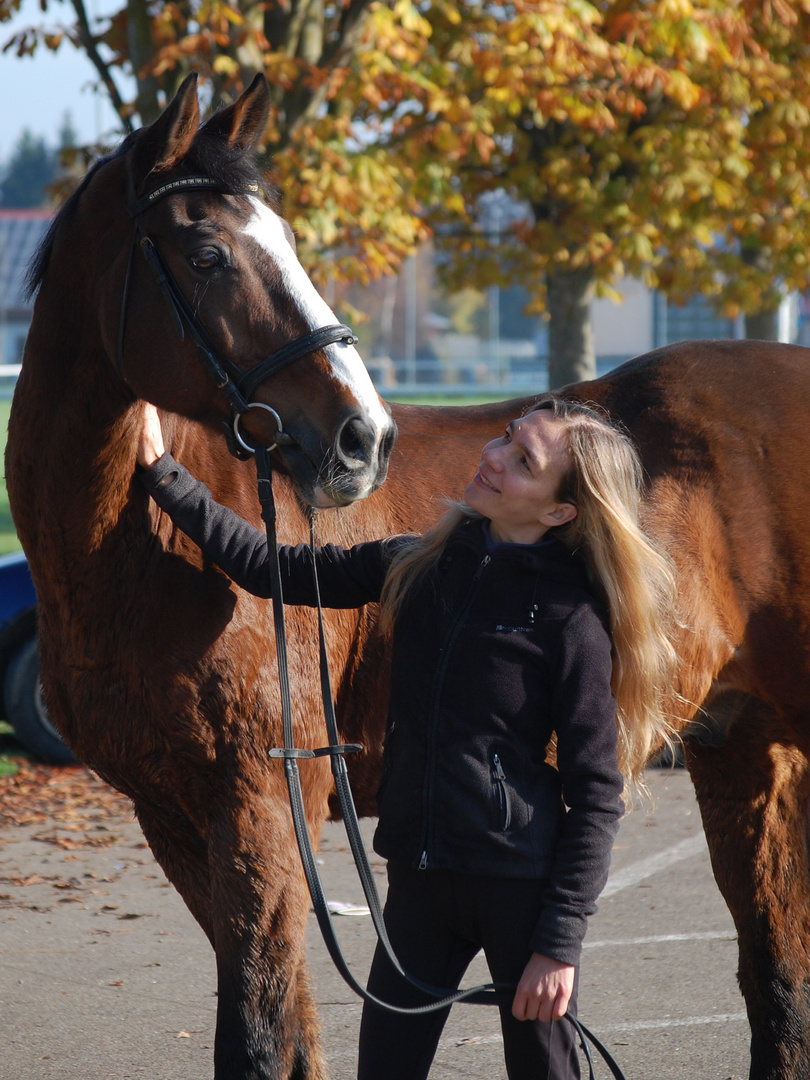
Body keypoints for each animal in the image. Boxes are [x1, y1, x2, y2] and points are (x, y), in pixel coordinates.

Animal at [6, 76, 810, 1080]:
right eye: (206, 253)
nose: (363, 437)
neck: (137, 557)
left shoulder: (259, 806)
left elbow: (258, 1035)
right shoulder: (176, 817)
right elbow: (290, 1033)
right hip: (743, 749)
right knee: (776, 982)